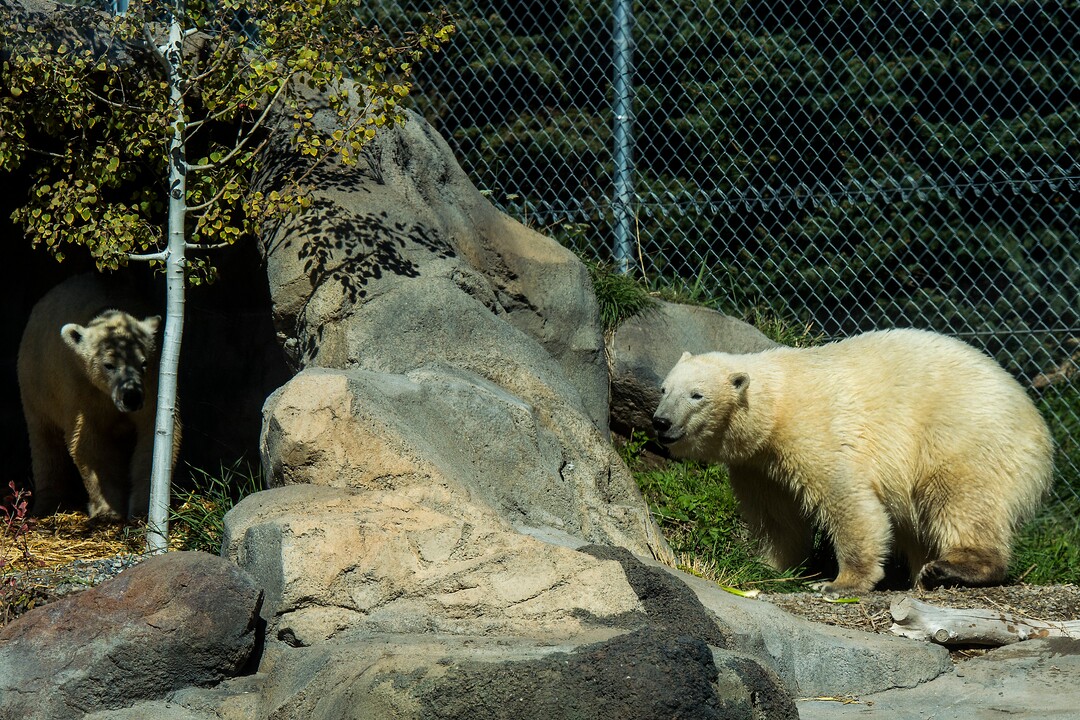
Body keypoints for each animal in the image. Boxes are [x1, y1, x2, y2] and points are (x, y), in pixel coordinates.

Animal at [17, 274, 180, 520]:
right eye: (108, 365)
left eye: (143, 362)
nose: (131, 398)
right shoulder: (79, 387)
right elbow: (88, 442)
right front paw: (107, 510)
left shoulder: (153, 383)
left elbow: (152, 435)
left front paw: (143, 509)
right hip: (36, 381)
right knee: (44, 438)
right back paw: (47, 504)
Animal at [651, 328, 1054, 596]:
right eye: (664, 389)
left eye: (697, 395)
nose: (661, 422)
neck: (776, 406)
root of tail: (1039, 429)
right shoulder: (758, 465)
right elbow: (777, 518)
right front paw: (765, 566)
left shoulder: (814, 431)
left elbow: (848, 501)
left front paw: (842, 582)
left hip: (966, 434)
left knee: (961, 498)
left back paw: (952, 567)